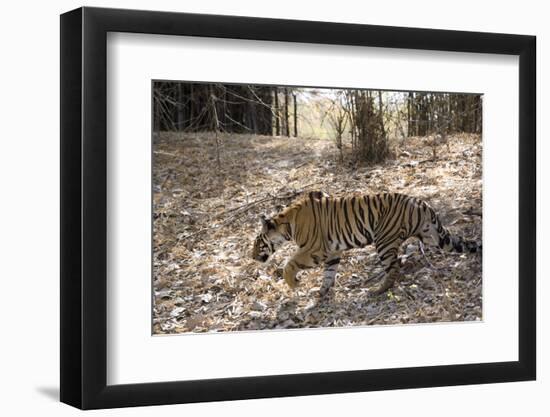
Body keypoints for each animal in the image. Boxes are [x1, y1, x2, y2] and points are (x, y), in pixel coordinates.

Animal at [252, 191, 480, 296]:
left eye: (257, 242)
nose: (252, 257)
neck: (287, 226)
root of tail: (422, 203)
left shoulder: (315, 249)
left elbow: (289, 264)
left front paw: (295, 284)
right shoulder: (332, 252)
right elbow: (329, 272)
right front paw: (322, 292)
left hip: (384, 240)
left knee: (394, 268)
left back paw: (377, 290)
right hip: (433, 236)